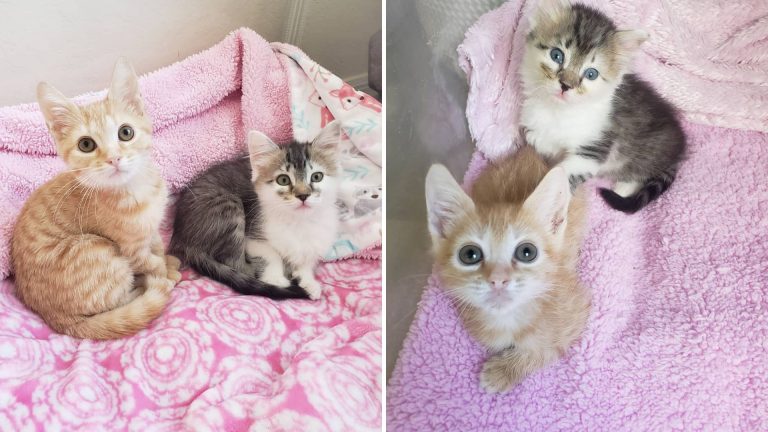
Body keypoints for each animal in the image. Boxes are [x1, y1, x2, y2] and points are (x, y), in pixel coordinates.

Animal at [10, 58, 180, 340]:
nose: (114, 158)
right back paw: (144, 287)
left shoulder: (152, 228)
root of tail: (55, 319)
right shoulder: (131, 250)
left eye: (126, 132)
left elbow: (157, 245)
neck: (137, 189)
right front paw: (165, 273)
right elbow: (152, 262)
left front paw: (168, 260)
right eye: (86, 145)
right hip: (97, 251)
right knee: (117, 302)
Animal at [172, 120, 344, 298]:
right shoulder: (253, 236)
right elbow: (271, 255)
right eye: (283, 180)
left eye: (317, 177)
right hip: (227, 206)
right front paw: (276, 279)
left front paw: (308, 281)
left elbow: (307, 260)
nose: (303, 195)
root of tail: (180, 236)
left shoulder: (318, 240)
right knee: (235, 264)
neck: (299, 222)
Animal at [424, 147, 592, 394]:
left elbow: (546, 350)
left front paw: (503, 371)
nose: (498, 279)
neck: (508, 320)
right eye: (470, 254)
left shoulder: (575, 315)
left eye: (526, 252)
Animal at [520, 0, 688, 213]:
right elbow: (542, 140)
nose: (566, 85)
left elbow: (564, 174)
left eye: (591, 74)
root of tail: (679, 150)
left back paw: (624, 186)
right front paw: (538, 139)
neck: (558, 110)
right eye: (556, 55)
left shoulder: (594, 149)